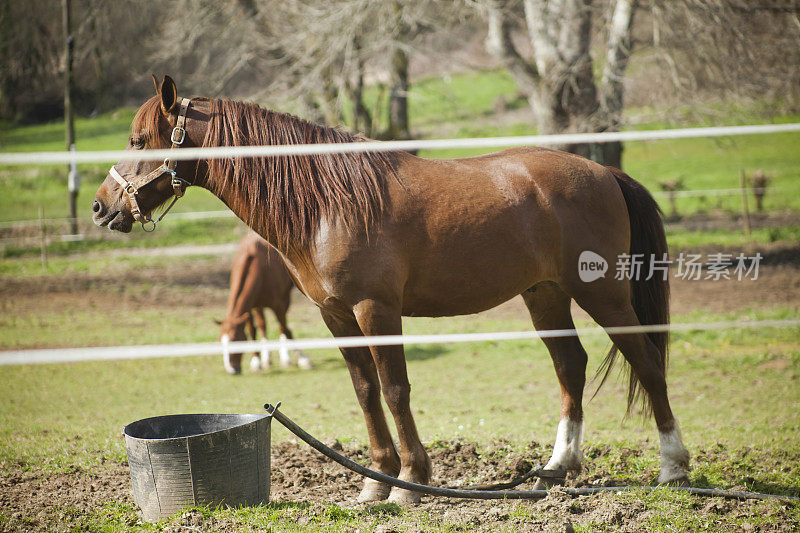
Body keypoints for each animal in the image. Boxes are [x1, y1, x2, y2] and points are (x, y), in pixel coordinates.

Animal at [216, 232, 312, 374]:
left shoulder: (278, 305)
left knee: (282, 326)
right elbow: (255, 329)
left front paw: (302, 358)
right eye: (220, 341)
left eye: (235, 340)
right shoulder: (253, 306)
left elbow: (284, 328)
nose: (231, 370)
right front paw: (257, 361)